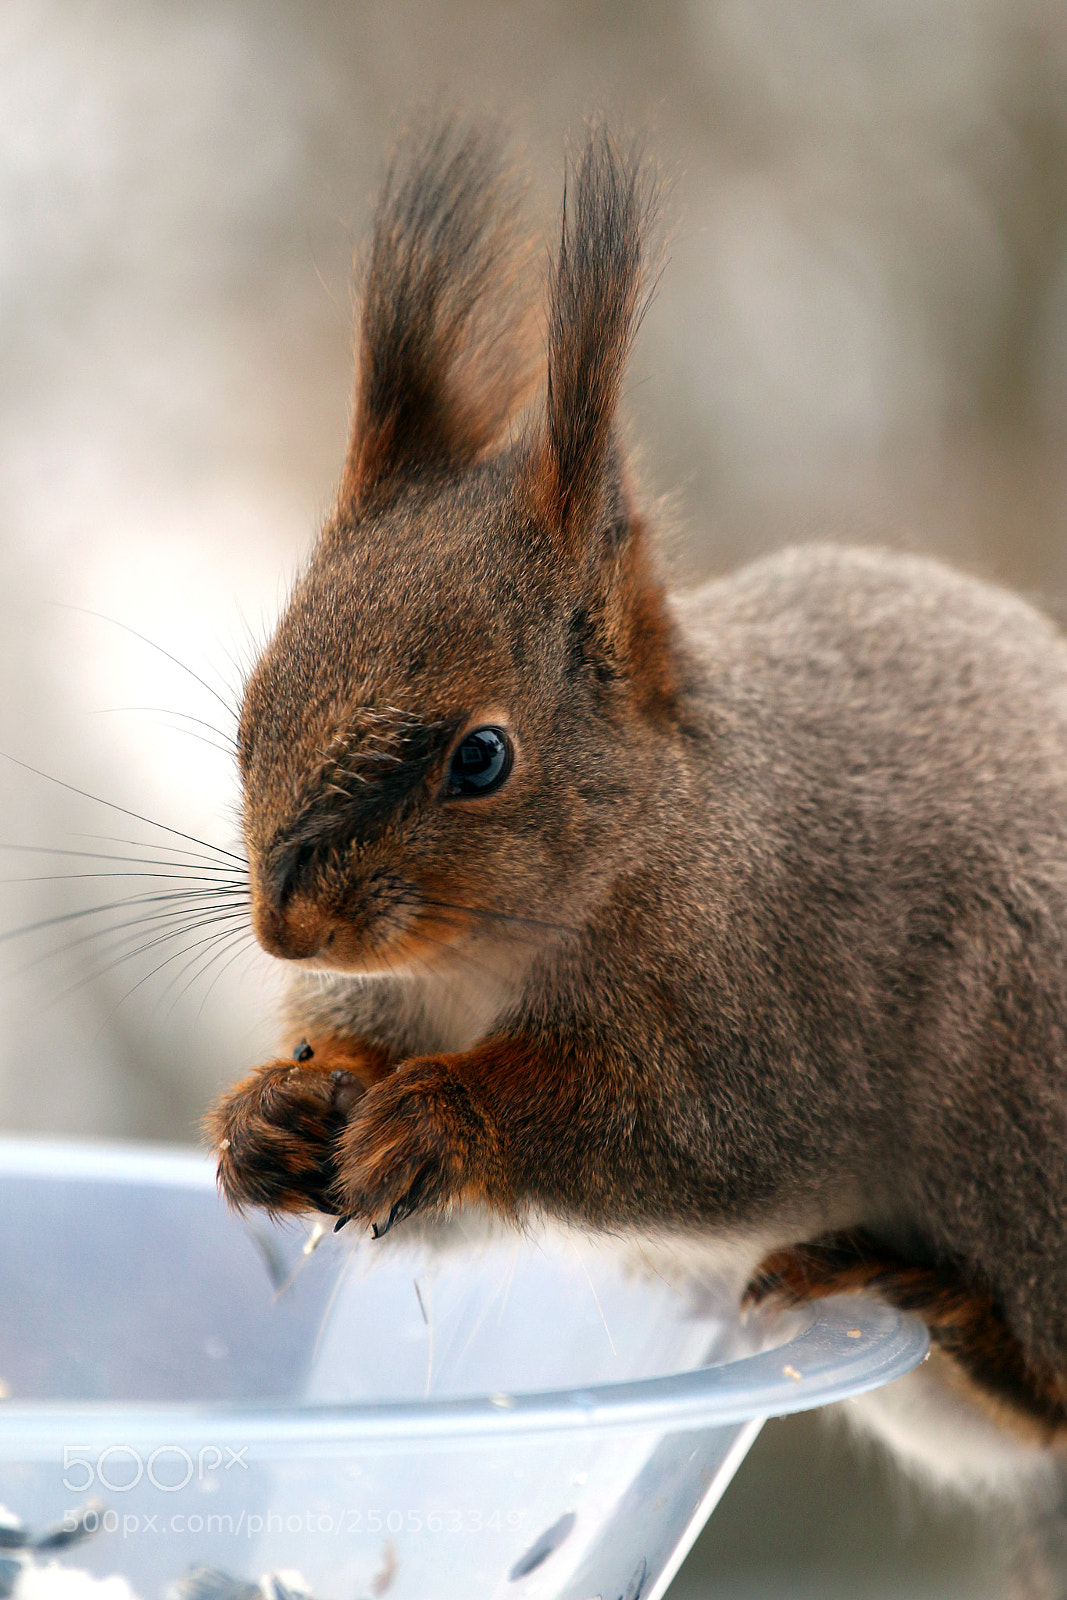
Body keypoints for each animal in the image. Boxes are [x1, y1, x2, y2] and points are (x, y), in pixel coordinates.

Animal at [206, 118, 1067, 1465]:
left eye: (481, 757)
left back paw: (953, 1312)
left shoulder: (761, 1014)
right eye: (256, 696)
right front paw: (272, 1109)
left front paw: (447, 1113)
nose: (286, 927)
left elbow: (683, 1133)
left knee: (1045, 1402)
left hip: (1020, 1081)